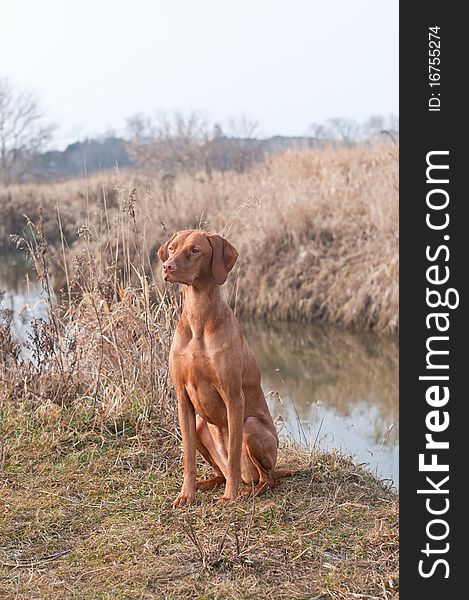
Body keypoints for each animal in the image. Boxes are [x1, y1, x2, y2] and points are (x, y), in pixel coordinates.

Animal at [159, 230, 288, 506]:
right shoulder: (183, 399)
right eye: (172, 248)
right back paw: (206, 485)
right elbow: (188, 458)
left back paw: (249, 491)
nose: (167, 266)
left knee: (266, 478)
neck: (198, 318)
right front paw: (186, 495)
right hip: (199, 426)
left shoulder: (233, 398)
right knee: (221, 472)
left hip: (251, 425)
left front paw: (230, 497)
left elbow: (234, 458)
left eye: (195, 250)